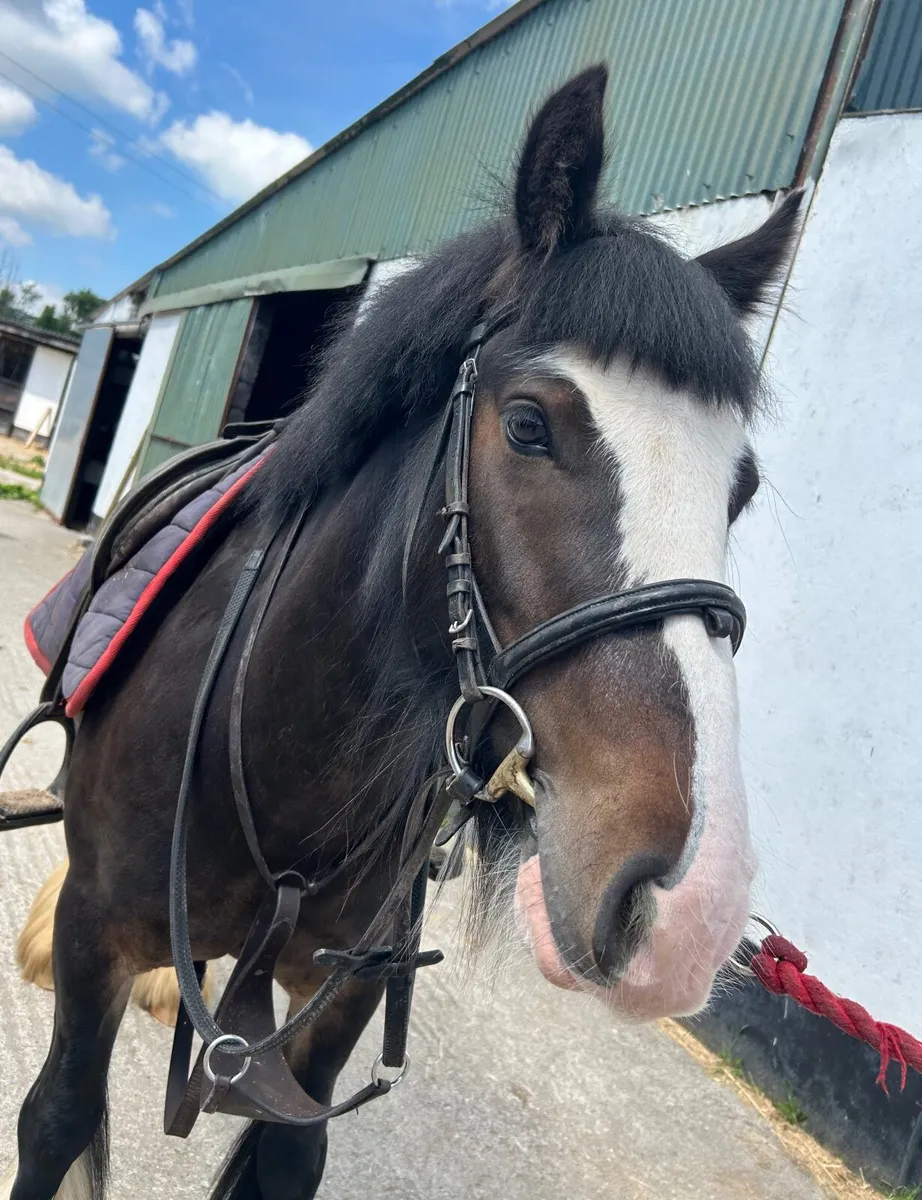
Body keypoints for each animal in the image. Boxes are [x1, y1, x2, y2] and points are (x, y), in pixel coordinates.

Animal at [2, 63, 801, 1200]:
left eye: (742, 486)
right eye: (527, 426)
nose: (687, 904)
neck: (282, 753)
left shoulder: (343, 998)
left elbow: (289, 1148)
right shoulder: (91, 939)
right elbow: (58, 1119)